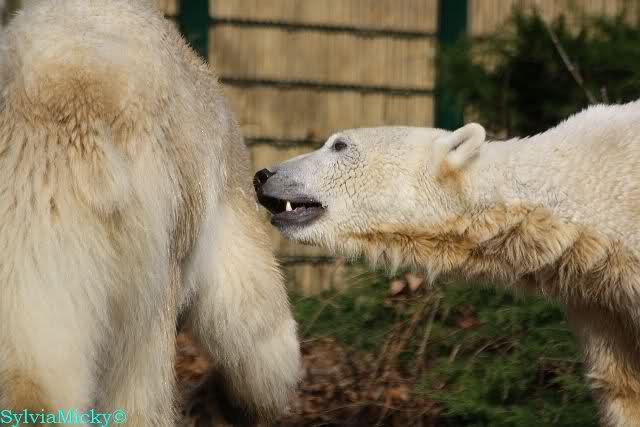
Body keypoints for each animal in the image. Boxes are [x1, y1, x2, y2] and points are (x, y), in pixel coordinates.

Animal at [0, 0, 301, 425]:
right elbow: (252, 313)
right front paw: (229, 401)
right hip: (145, 244)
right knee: (139, 384)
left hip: (36, 225)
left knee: (34, 375)